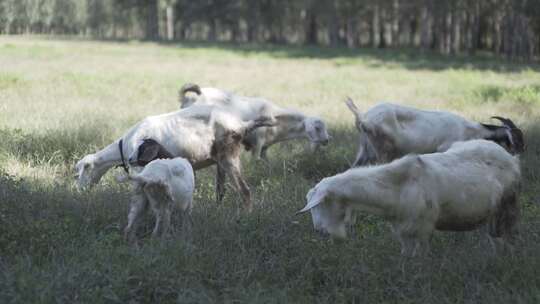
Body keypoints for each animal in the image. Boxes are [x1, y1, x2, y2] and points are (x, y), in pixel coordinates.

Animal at [76, 105, 274, 213]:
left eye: (80, 173)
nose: (80, 191)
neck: (125, 145)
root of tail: (242, 124)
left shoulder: (141, 168)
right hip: (220, 161)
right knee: (221, 192)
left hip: (229, 156)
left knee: (245, 191)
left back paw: (245, 215)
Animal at [298, 140, 520, 256]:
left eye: (319, 205)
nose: (319, 230)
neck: (396, 186)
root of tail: (511, 157)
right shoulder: (402, 229)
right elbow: (406, 255)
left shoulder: (424, 227)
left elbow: (422, 254)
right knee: (493, 237)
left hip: (508, 205)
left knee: (506, 235)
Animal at [346, 98, 524, 166]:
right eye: (517, 139)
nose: (521, 152)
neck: (472, 129)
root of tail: (364, 118)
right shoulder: (445, 148)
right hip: (383, 150)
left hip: (365, 149)